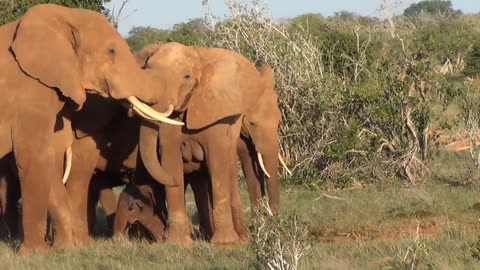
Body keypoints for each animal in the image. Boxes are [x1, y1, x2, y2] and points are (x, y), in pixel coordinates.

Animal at [0, 4, 184, 253]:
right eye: (111, 51)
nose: (174, 179)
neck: (64, 15)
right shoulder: (31, 93)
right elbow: (34, 156)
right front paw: (35, 254)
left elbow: (50, 159)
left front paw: (67, 249)